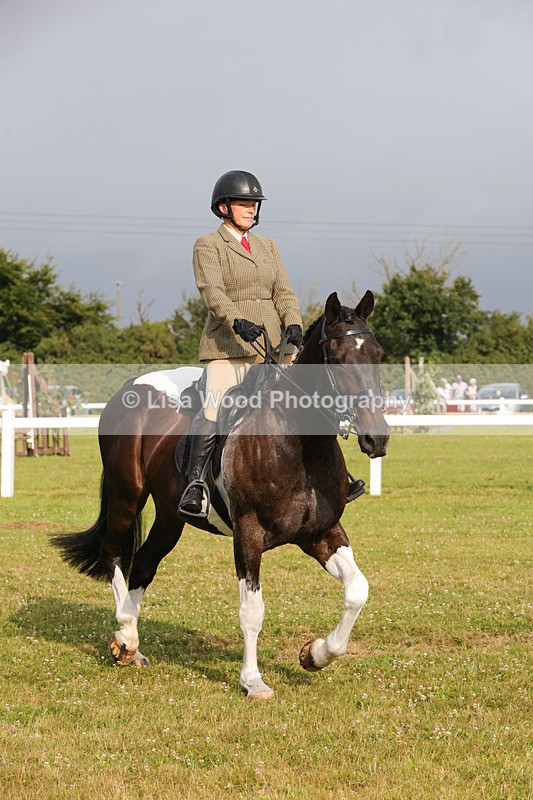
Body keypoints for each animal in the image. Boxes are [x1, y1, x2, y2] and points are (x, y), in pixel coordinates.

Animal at [52, 290, 390, 700]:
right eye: (337, 360)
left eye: (378, 354)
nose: (377, 438)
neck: (298, 444)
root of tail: (129, 388)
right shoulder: (248, 536)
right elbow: (252, 612)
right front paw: (252, 680)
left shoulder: (321, 533)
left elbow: (357, 590)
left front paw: (315, 654)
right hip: (126, 493)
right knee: (115, 552)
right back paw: (126, 638)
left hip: (170, 515)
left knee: (145, 563)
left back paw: (130, 642)